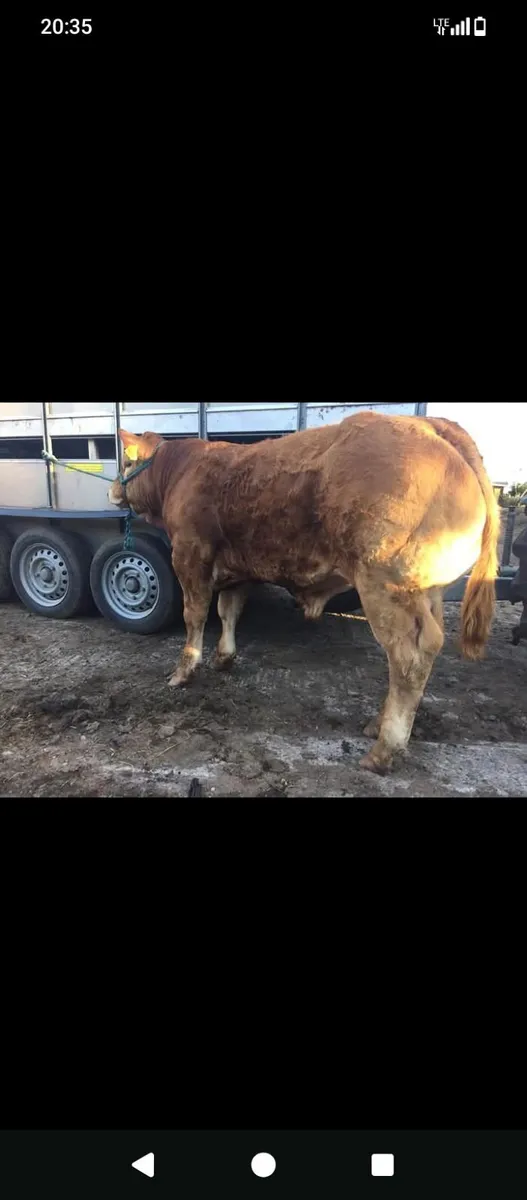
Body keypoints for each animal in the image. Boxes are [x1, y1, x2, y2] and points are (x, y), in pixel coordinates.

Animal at [108, 411, 499, 774]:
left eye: (125, 462)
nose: (112, 489)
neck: (180, 472)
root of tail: (430, 425)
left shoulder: (190, 556)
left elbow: (195, 615)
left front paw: (184, 671)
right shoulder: (237, 568)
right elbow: (228, 611)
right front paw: (224, 657)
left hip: (385, 586)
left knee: (409, 658)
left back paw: (384, 749)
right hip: (427, 592)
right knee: (426, 648)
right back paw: (378, 725)